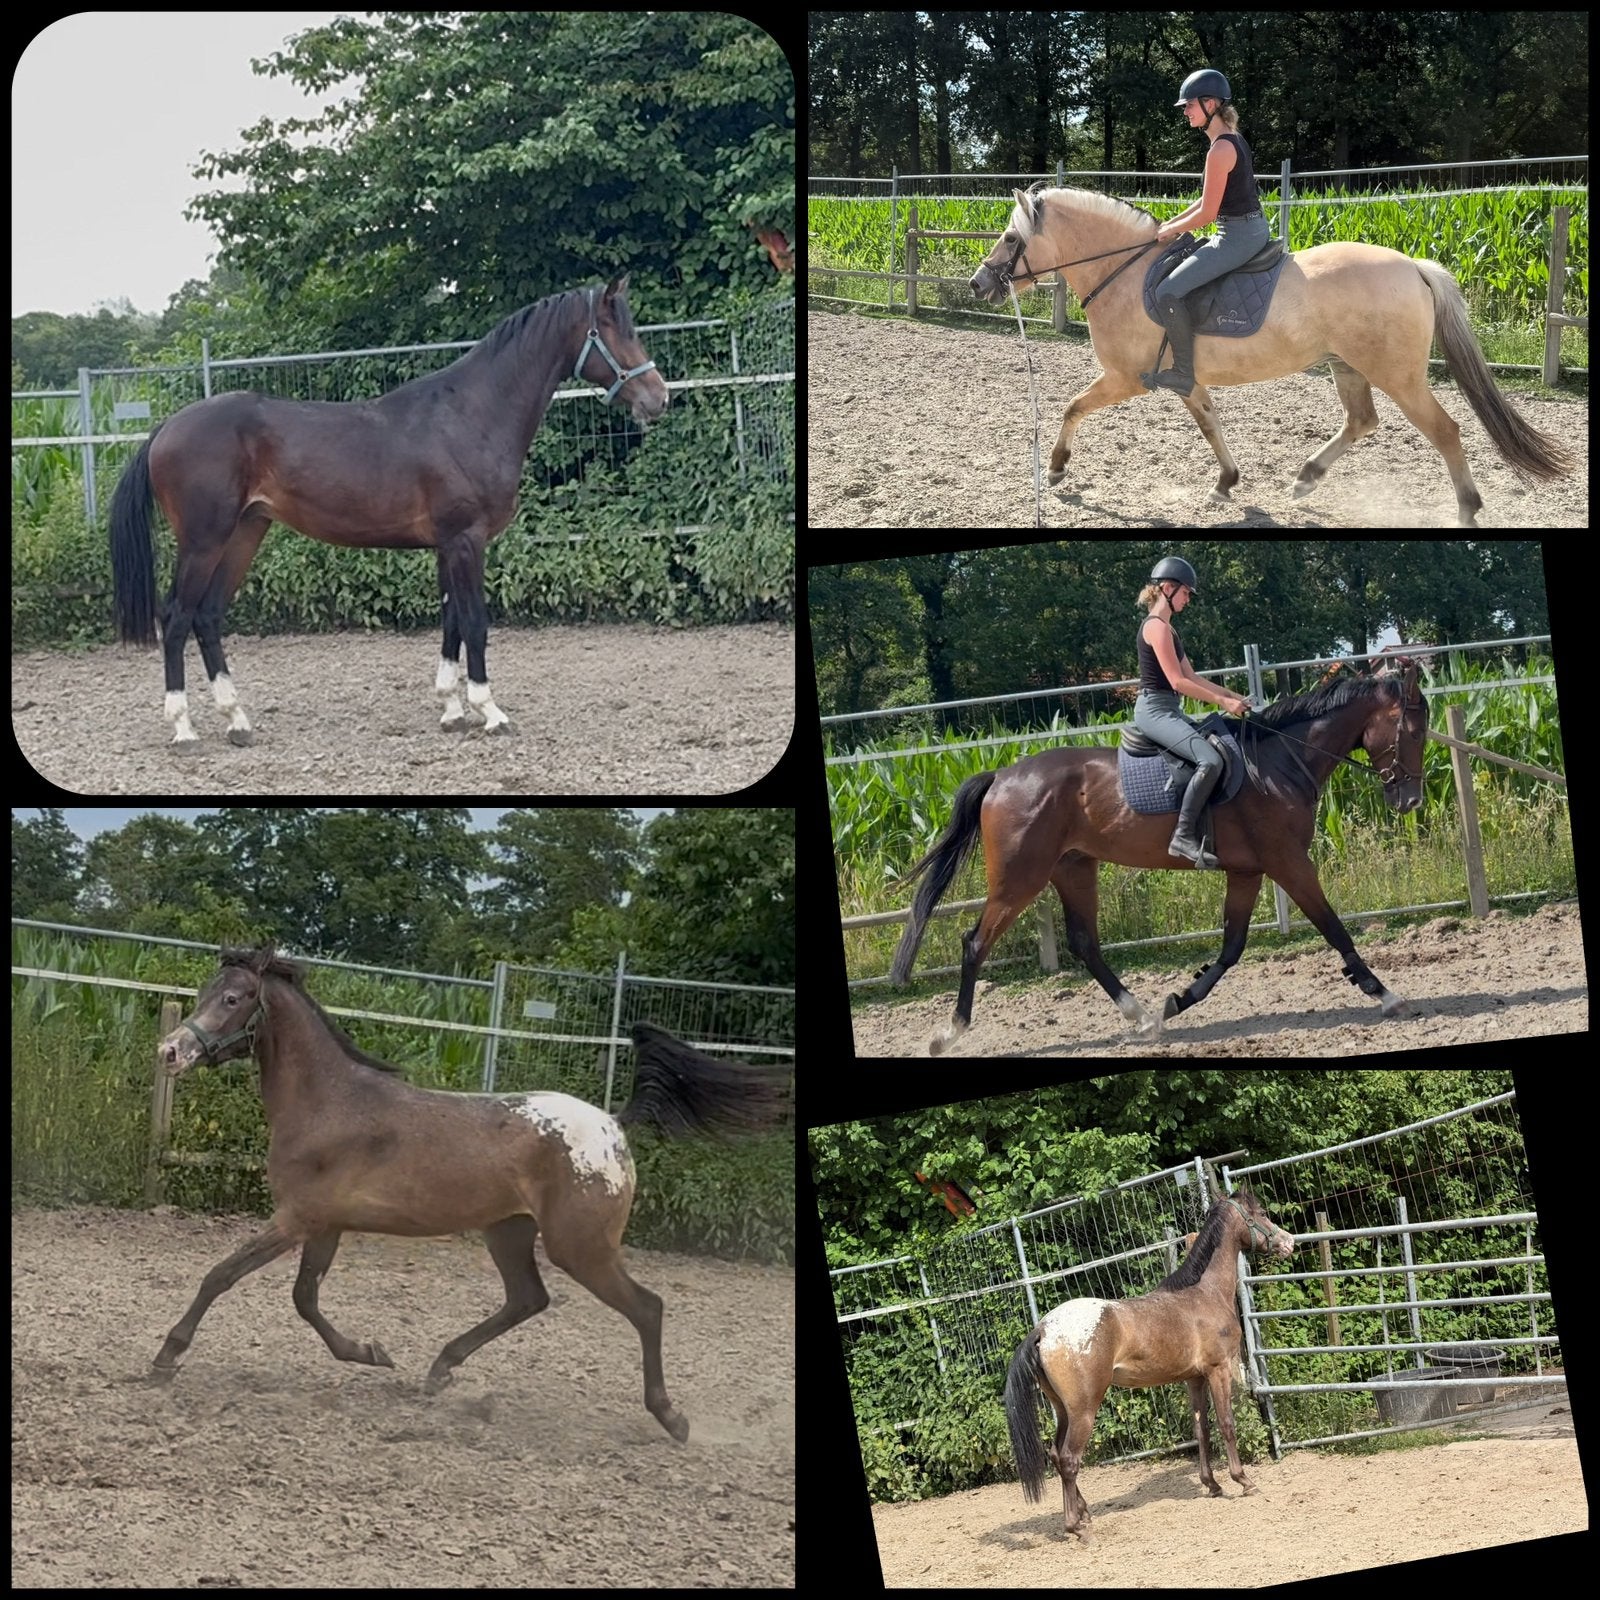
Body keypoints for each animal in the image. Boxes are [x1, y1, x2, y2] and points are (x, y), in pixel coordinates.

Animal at [109, 276, 669, 746]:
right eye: (613, 330)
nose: (658, 398)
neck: (471, 415)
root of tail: (166, 428)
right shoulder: (466, 540)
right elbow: (476, 622)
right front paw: (489, 711)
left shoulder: (447, 546)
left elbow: (451, 621)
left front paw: (451, 709)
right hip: (204, 540)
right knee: (176, 617)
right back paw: (183, 728)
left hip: (246, 532)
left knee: (207, 616)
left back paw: (237, 721)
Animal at [150, 946, 789, 1443]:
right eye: (206, 991)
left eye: (234, 998)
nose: (170, 1052)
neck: (329, 1104)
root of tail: (612, 1125)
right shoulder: (325, 1225)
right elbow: (305, 1300)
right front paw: (373, 1352)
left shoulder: (295, 1219)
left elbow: (221, 1276)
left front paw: (166, 1357)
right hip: (508, 1232)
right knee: (528, 1299)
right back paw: (440, 1369)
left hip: (579, 1247)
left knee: (646, 1308)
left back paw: (672, 1418)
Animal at [890, 659, 1428, 1052]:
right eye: (1414, 732)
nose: (1410, 801)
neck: (1277, 764)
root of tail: (1001, 776)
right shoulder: (1288, 863)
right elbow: (1334, 928)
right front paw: (1387, 996)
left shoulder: (1248, 871)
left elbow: (1232, 947)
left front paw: (1177, 1001)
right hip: (1020, 878)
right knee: (975, 944)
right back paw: (949, 1034)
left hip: (1073, 869)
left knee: (1085, 943)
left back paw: (1145, 1019)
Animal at [969, 186, 1573, 527]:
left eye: (1010, 238)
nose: (979, 284)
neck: (1128, 273)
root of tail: (1413, 266)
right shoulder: (1185, 379)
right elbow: (1211, 424)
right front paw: (1226, 483)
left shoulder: (1127, 377)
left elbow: (1072, 406)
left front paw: (1055, 468)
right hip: (1348, 366)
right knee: (1362, 421)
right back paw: (1305, 478)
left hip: (1399, 376)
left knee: (1445, 430)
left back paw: (1467, 509)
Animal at [1005, 1181, 1294, 1543]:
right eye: (1262, 1213)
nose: (1289, 1242)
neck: (1205, 1293)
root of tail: (1044, 1329)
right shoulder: (1219, 1371)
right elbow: (1227, 1424)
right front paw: (1244, 1481)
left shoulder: (1194, 1378)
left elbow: (1201, 1430)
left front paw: (1212, 1485)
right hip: (1084, 1410)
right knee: (1069, 1459)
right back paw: (1078, 1528)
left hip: (1063, 1410)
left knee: (1057, 1456)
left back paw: (1083, 1514)